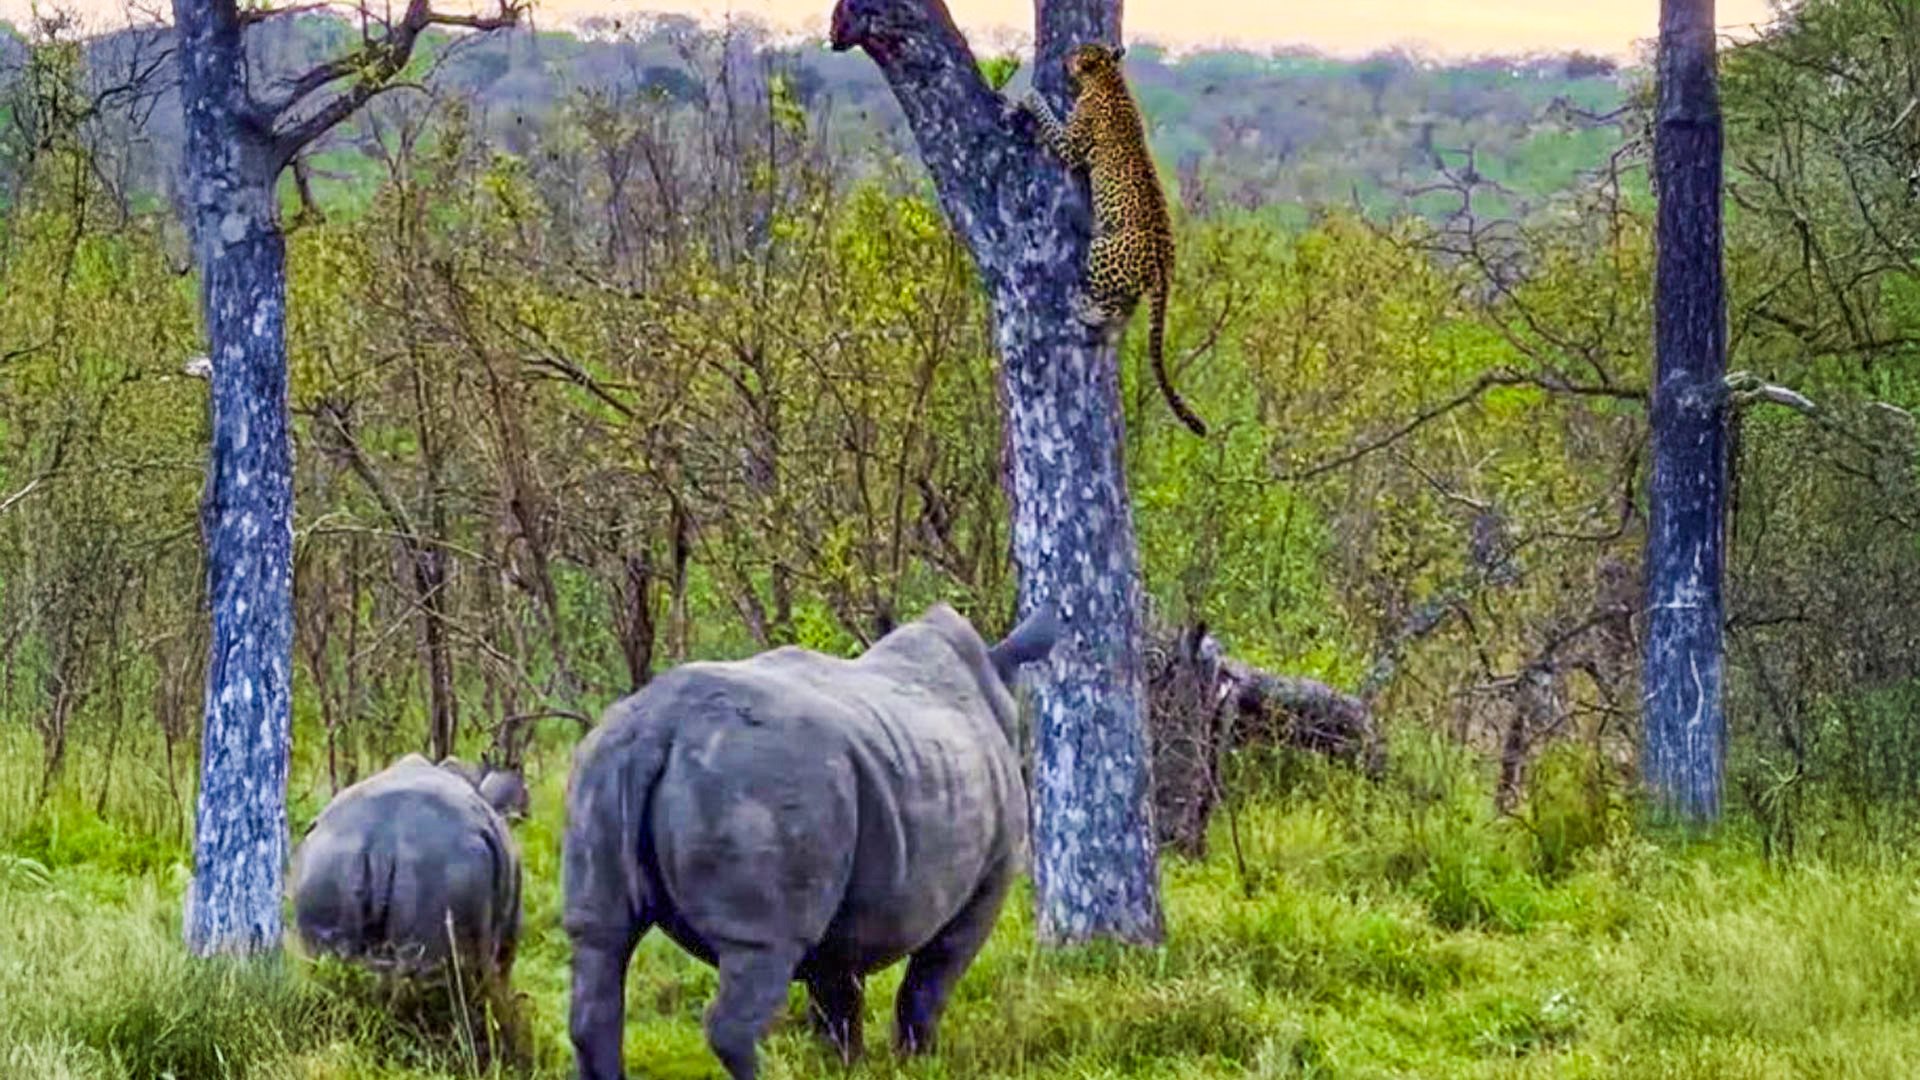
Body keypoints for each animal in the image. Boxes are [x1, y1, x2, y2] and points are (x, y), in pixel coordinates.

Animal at [563, 603, 1061, 1080]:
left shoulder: (847, 902)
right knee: (761, 953)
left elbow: (836, 995)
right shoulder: (990, 877)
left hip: (602, 764)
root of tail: (658, 727)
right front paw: (917, 1063)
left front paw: (844, 1067)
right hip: (756, 780)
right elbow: (929, 981)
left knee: (601, 940)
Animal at [1018, 42, 1208, 437]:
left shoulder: (1071, 145)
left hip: (1102, 248)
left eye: (1077, 53)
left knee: (1113, 307)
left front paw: (1030, 97)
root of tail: (1163, 270)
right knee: (1126, 306)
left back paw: (1084, 310)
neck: (1109, 77)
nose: (1065, 58)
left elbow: (1050, 121)